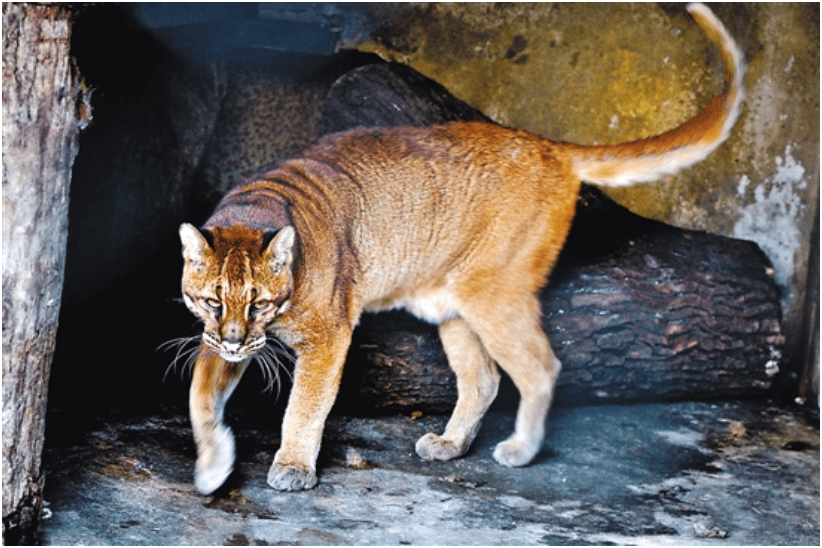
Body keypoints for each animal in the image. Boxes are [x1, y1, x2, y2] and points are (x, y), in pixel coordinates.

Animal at [180, 3, 748, 492]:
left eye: (259, 303)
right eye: (212, 300)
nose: (235, 339)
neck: (262, 202)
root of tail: (547, 145)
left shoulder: (328, 336)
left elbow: (305, 405)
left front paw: (293, 467)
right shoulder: (216, 339)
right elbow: (199, 394)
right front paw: (212, 466)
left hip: (492, 291)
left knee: (540, 367)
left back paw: (519, 449)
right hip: (455, 306)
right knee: (484, 379)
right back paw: (451, 444)